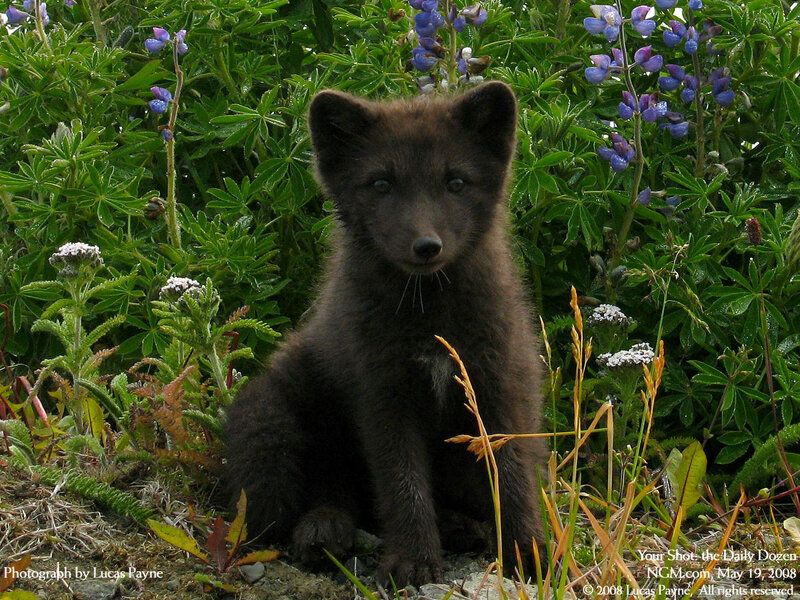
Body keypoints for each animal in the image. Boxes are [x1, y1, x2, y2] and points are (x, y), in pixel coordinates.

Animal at [224, 81, 547, 587]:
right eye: (380, 184)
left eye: (456, 183)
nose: (427, 246)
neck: (430, 319)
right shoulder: (382, 395)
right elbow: (401, 482)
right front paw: (413, 560)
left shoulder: (495, 386)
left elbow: (509, 474)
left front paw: (526, 551)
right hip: (270, 424)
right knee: (323, 495)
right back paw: (323, 532)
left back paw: (459, 528)